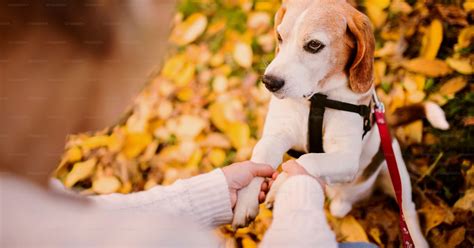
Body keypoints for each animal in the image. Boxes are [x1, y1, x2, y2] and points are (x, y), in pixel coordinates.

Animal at [233, 0, 440, 246]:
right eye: (280, 37)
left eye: (314, 45)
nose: (269, 82)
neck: (318, 99)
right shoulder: (276, 135)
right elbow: (260, 158)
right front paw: (246, 200)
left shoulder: (346, 159)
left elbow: (307, 160)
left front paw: (281, 183)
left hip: (396, 168)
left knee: (407, 208)